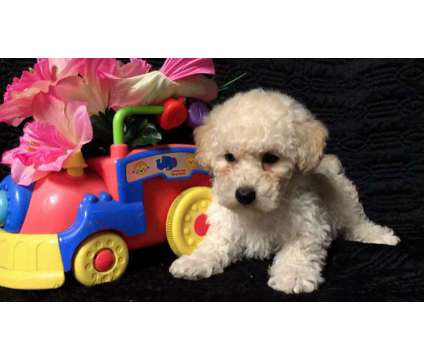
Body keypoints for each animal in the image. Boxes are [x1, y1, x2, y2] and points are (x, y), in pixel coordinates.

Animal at [168, 88, 398, 294]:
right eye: (229, 157)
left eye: (271, 158)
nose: (244, 194)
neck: (260, 212)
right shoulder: (227, 225)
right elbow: (216, 243)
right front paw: (195, 261)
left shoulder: (309, 224)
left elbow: (299, 249)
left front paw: (293, 275)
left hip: (346, 204)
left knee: (358, 223)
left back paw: (381, 236)